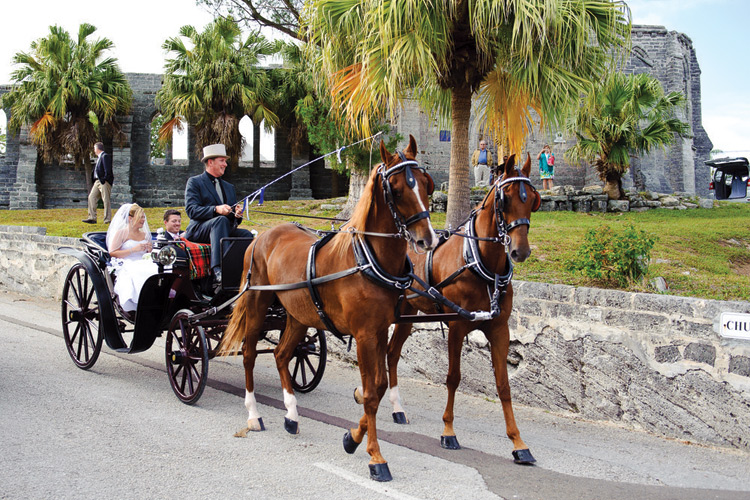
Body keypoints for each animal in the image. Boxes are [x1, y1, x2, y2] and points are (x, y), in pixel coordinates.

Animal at [220, 136, 438, 480]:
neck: (366, 260)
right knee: (250, 355)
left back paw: (292, 414)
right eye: (397, 189)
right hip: (256, 305)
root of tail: (261, 236)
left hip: (297, 316)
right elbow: (372, 394)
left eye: (427, 184)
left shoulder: (379, 331)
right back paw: (253, 414)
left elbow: (377, 386)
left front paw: (353, 437)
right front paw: (375, 457)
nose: (427, 239)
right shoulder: (364, 335)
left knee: (281, 355)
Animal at [358, 153, 540, 464]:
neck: (479, 262)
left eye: (532, 199)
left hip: (406, 315)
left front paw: (518, 442)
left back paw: (396, 407)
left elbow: (504, 385)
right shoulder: (457, 327)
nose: (520, 251)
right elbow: (453, 378)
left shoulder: (499, 328)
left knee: (391, 354)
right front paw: (448, 432)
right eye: (505, 198)